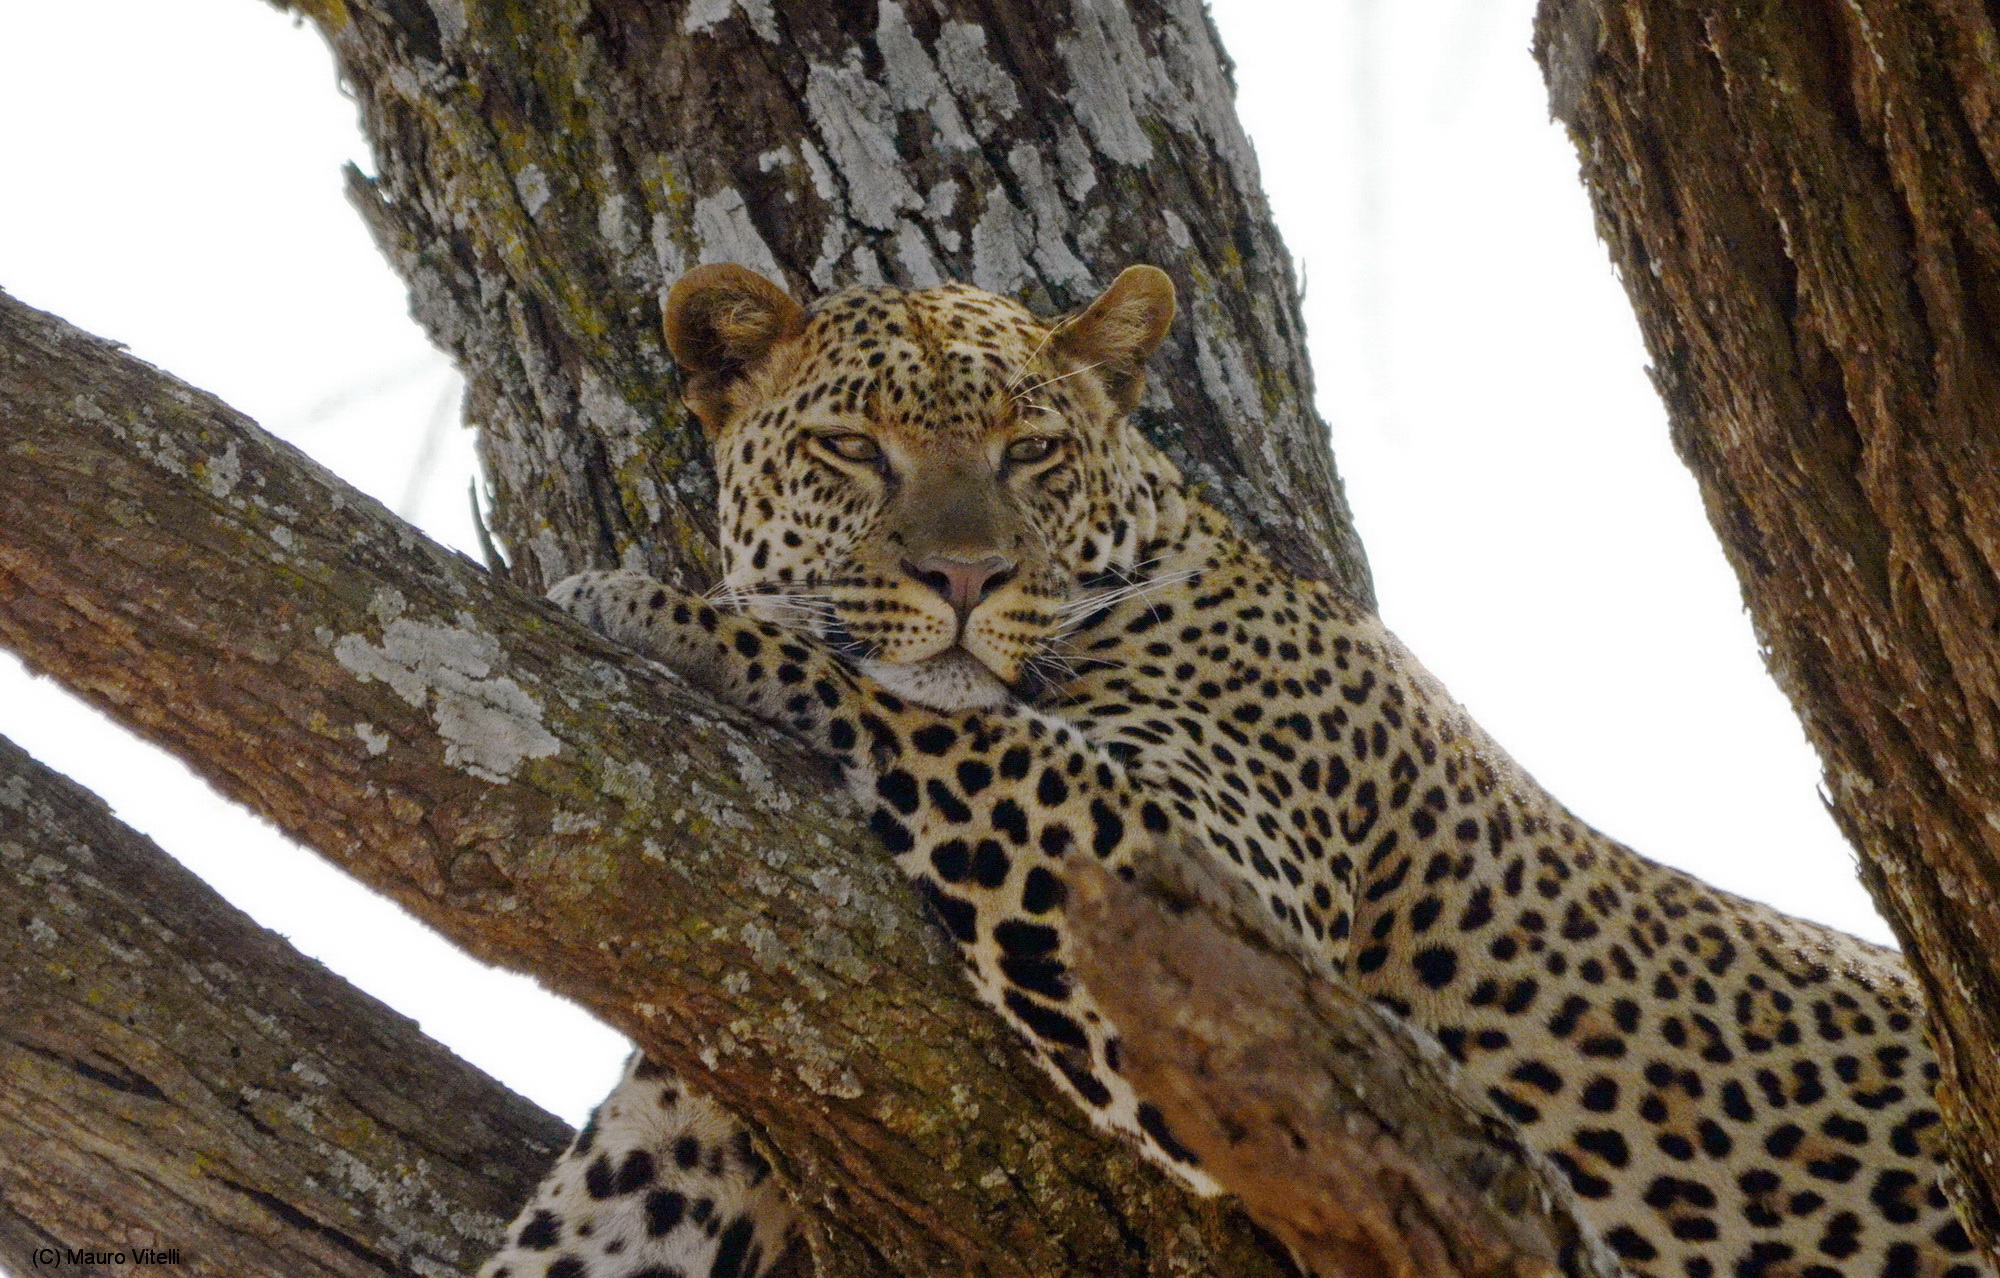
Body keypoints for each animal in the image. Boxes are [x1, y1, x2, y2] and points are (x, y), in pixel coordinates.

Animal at [478, 262, 1988, 1278]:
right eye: (852, 449)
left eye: (1032, 451)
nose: (966, 578)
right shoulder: (703, 1106)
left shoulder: (1202, 893)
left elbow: (923, 709)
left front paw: (661, 607)